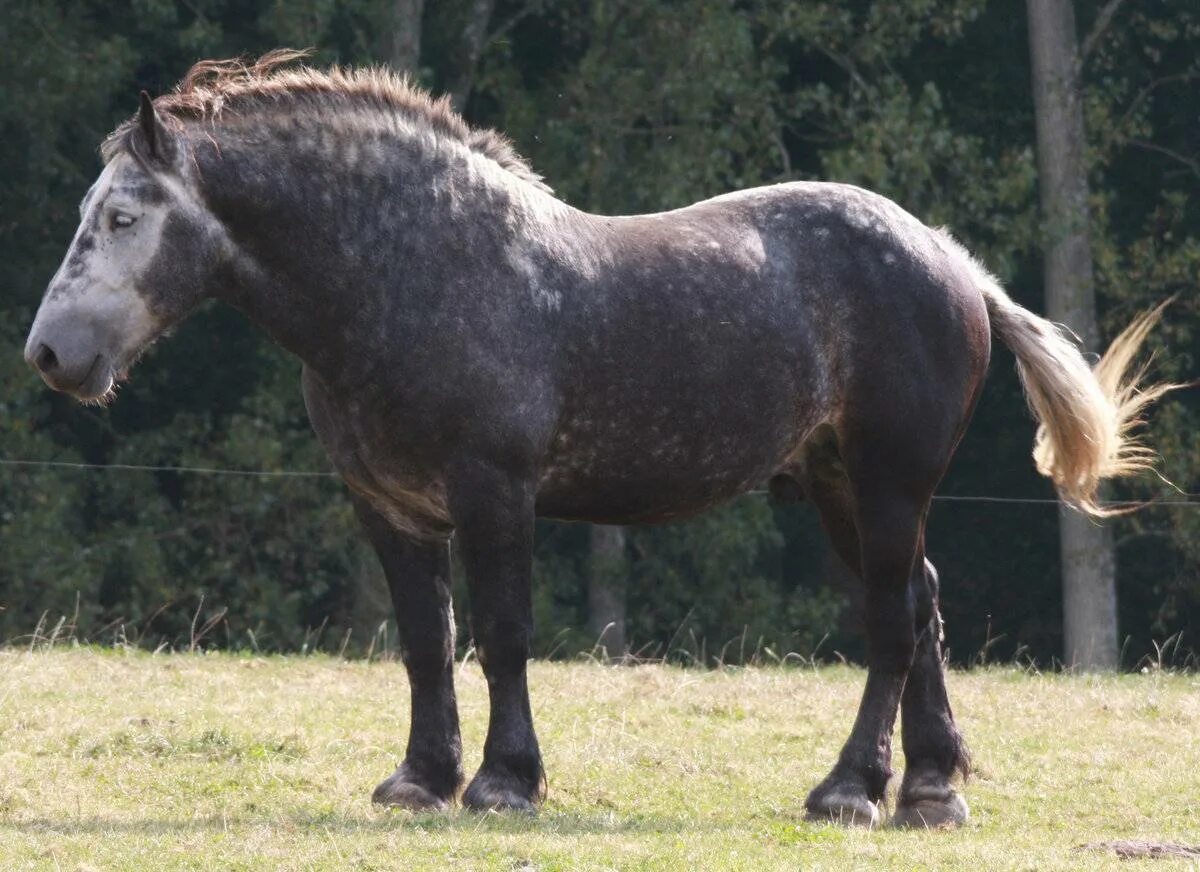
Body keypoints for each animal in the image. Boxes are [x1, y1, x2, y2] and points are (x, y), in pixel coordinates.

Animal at [23, 51, 1176, 830]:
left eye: (123, 217)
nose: (49, 353)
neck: (413, 272)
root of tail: (953, 263)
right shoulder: (388, 505)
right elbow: (426, 643)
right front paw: (420, 778)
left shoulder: (495, 492)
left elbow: (503, 634)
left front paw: (503, 781)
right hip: (842, 489)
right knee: (922, 609)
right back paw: (930, 789)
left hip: (889, 483)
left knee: (894, 624)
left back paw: (849, 789)